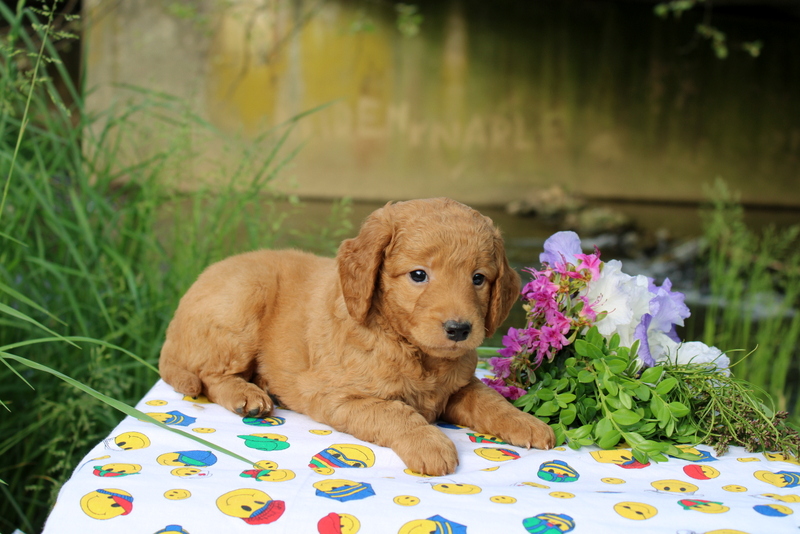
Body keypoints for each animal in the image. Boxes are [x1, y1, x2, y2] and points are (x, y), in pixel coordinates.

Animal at [159, 199, 552, 476]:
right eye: (419, 275)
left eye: (478, 278)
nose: (459, 329)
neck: (411, 349)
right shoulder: (338, 397)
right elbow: (395, 412)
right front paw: (430, 444)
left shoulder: (459, 387)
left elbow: (491, 401)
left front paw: (528, 423)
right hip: (243, 301)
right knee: (210, 375)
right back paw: (248, 395)